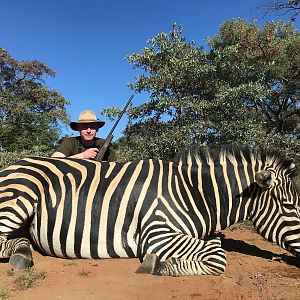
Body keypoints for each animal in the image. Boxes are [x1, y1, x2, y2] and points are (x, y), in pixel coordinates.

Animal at [0, 146, 298, 276]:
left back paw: (23, 254)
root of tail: (13, 164)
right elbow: (218, 259)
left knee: (17, 240)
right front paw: (157, 265)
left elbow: (216, 251)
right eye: (290, 206)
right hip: (19, 197)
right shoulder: (157, 233)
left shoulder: (206, 234)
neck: (195, 193)